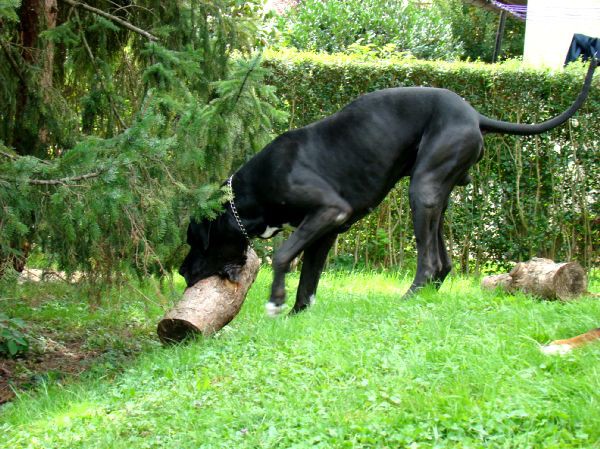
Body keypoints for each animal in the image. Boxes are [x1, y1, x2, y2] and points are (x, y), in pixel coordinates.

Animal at [180, 59, 596, 316]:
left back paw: (408, 297)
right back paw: (425, 296)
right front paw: (297, 313)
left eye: (193, 242)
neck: (253, 191)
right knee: (443, 261)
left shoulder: (329, 212)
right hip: (436, 194)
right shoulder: (324, 232)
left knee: (429, 261)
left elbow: (282, 255)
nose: (182, 272)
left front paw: (275, 302)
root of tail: (475, 114)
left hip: (422, 190)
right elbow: (309, 278)